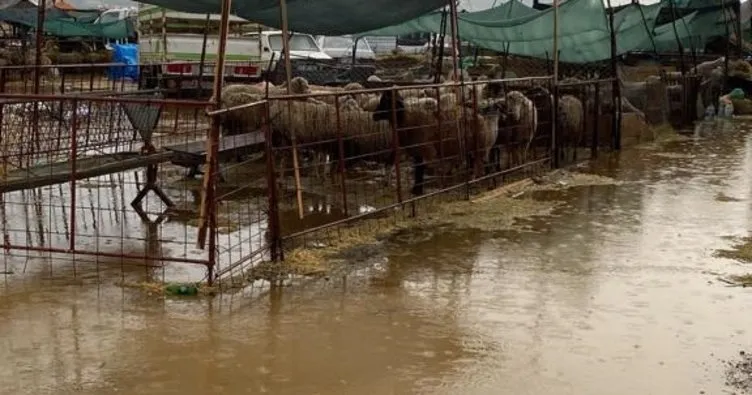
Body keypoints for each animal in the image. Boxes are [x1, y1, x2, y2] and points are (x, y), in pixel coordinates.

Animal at [372, 88, 500, 196]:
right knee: (475, 162)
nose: (374, 116)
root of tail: (480, 117)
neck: (407, 119)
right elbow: (417, 169)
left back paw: (488, 182)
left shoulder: (425, 150)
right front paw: (416, 189)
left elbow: (420, 169)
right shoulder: (417, 151)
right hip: (471, 147)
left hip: (480, 146)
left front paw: (417, 191)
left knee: (485, 163)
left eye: (386, 102)